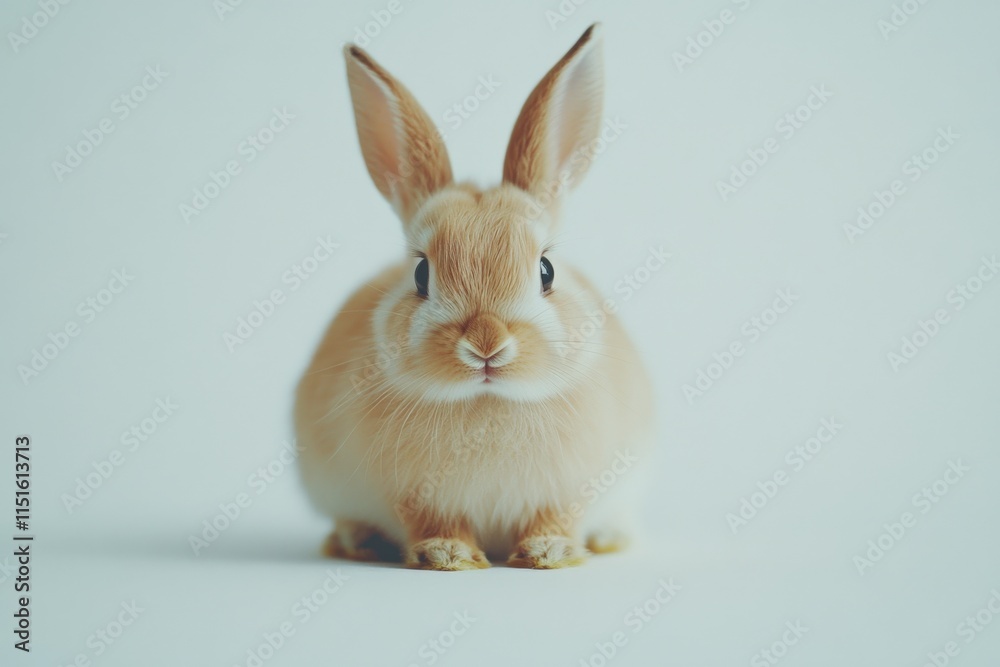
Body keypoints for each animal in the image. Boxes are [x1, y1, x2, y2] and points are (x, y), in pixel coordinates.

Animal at [295, 23, 654, 570]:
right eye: (421, 273)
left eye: (546, 270)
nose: (487, 343)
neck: (489, 401)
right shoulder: (413, 496)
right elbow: (432, 522)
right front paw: (447, 556)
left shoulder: (572, 489)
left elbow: (555, 517)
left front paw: (550, 552)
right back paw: (357, 541)